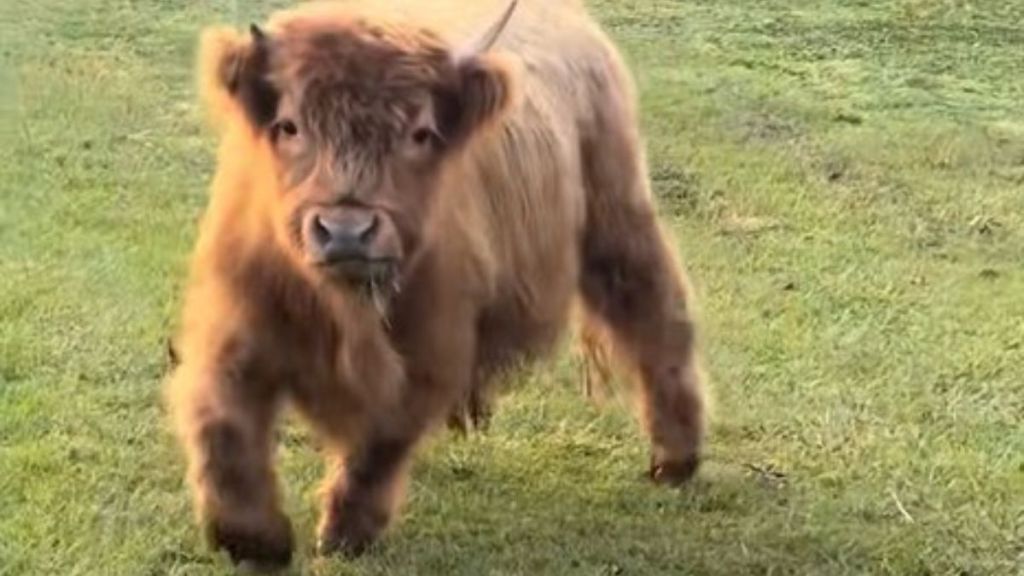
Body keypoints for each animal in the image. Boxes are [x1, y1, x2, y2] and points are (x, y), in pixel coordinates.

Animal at [167, 0, 708, 565]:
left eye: (421, 132)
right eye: (289, 125)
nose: (346, 231)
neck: (344, 312)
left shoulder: (428, 349)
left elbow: (381, 442)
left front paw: (344, 532)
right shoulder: (234, 329)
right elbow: (221, 423)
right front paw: (254, 540)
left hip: (617, 217)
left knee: (656, 316)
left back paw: (675, 459)